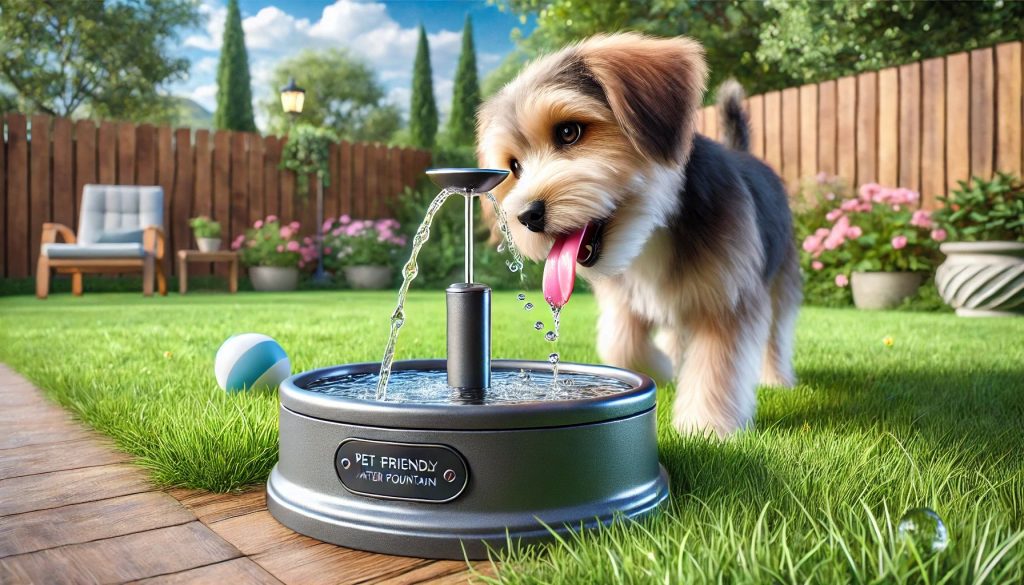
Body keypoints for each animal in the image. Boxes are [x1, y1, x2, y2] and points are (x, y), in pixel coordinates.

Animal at [475, 30, 802, 434]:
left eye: (569, 131)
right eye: (514, 167)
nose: (526, 216)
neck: (654, 230)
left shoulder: (728, 298)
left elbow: (716, 366)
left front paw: (707, 426)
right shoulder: (625, 300)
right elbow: (621, 345)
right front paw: (665, 367)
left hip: (781, 276)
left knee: (777, 331)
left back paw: (776, 378)